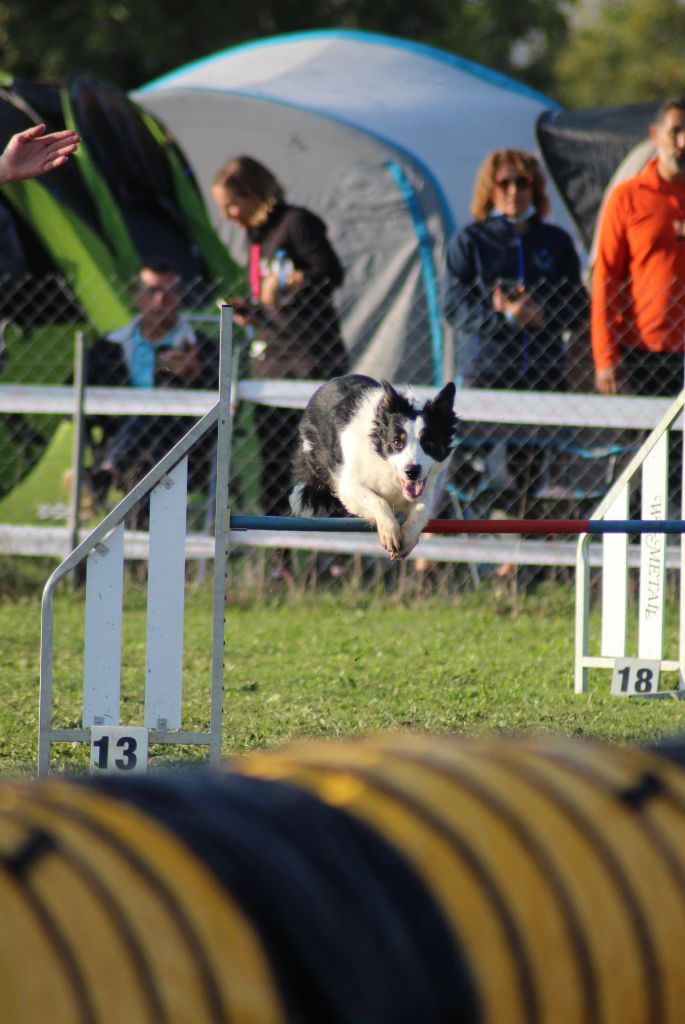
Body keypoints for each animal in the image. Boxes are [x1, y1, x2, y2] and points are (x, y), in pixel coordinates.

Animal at [286, 372, 454, 557]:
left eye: (429, 442)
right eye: (397, 442)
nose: (412, 471)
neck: (387, 468)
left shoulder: (425, 489)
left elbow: (421, 509)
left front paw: (409, 537)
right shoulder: (348, 486)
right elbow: (377, 500)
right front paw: (390, 532)